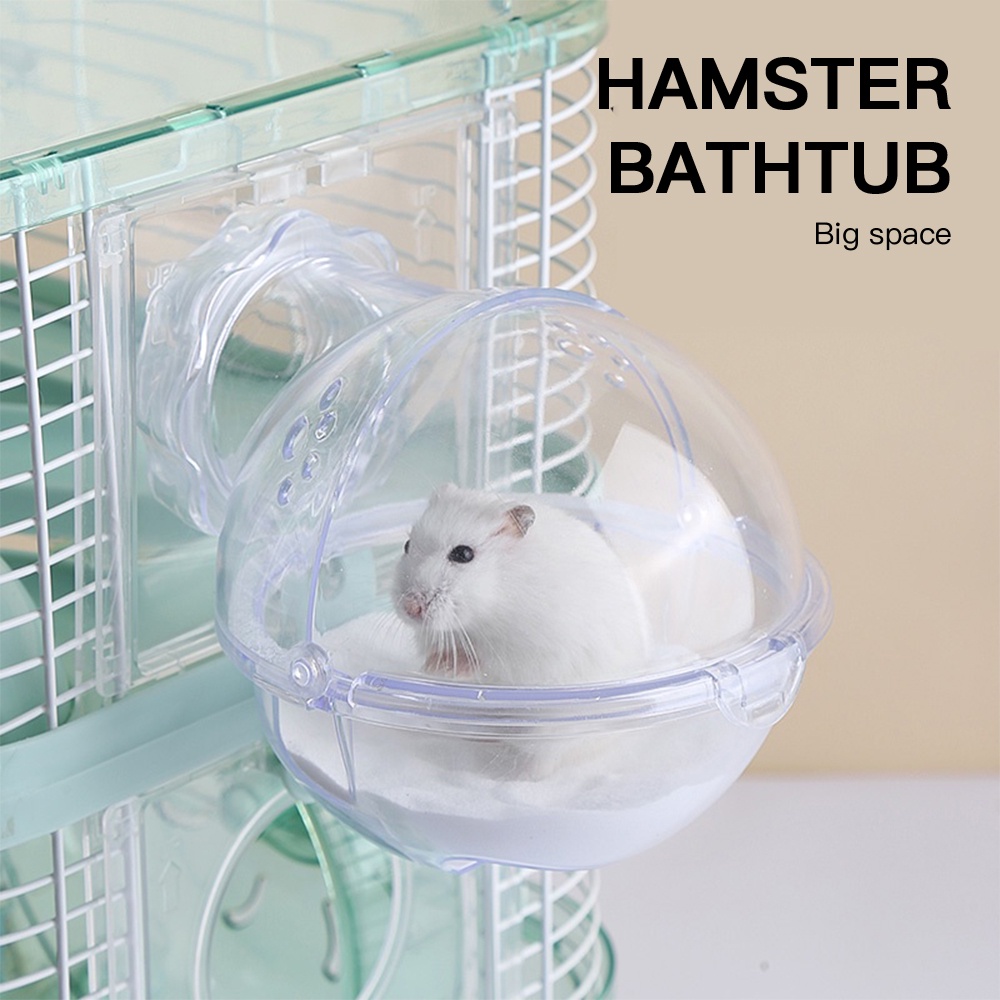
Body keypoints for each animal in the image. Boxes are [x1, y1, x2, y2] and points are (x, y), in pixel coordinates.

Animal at [392, 484, 649, 686]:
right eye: (407, 545)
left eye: (463, 554)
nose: (410, 608)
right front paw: (430, 666)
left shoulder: (530, 655)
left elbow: (486, 663)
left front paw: (447, 666)